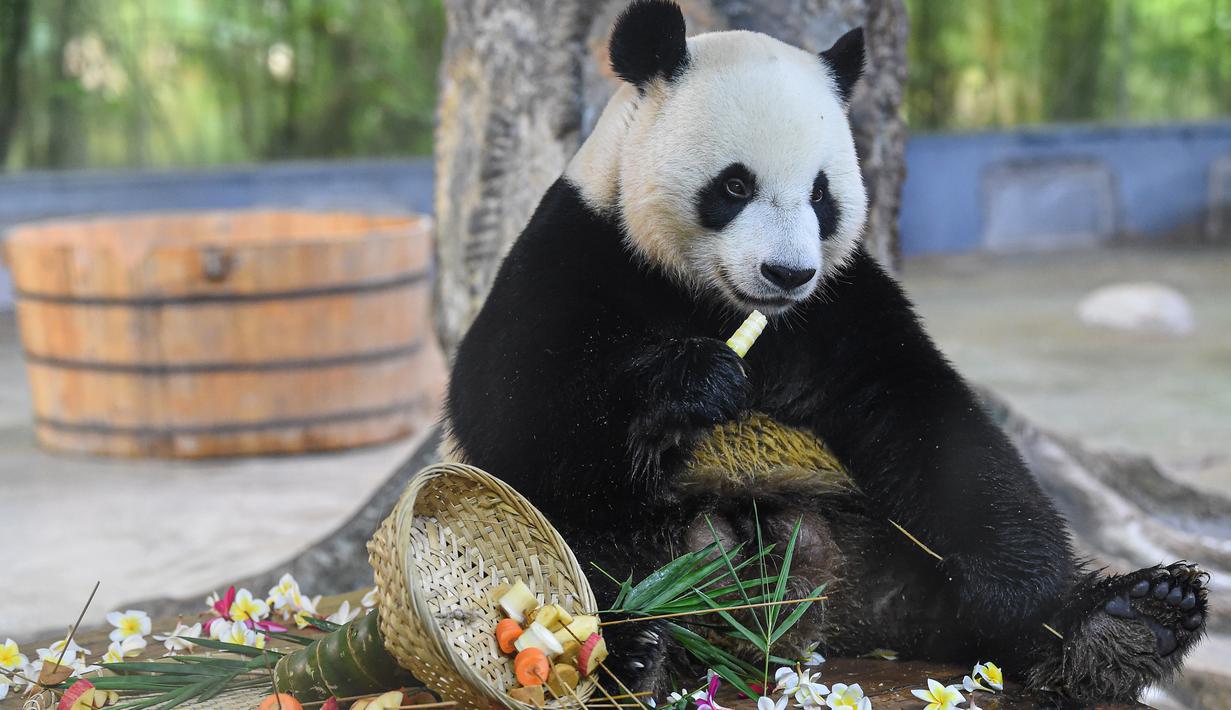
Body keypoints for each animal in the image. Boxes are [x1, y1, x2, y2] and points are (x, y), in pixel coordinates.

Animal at [445, 1, 1211, 703]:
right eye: (734, 185)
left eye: (821, 195)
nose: (786, 273)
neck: (715, 301)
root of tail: (814, 620)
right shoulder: (577, 253)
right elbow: (516, 414)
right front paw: (692, 385)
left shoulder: (840, 308)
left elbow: (929, 420)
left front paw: (1036, 594)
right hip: (638, 545)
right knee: (581, 544)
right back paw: (634, 649)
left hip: (882, 547)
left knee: (974, 615)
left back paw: (1125, 625)